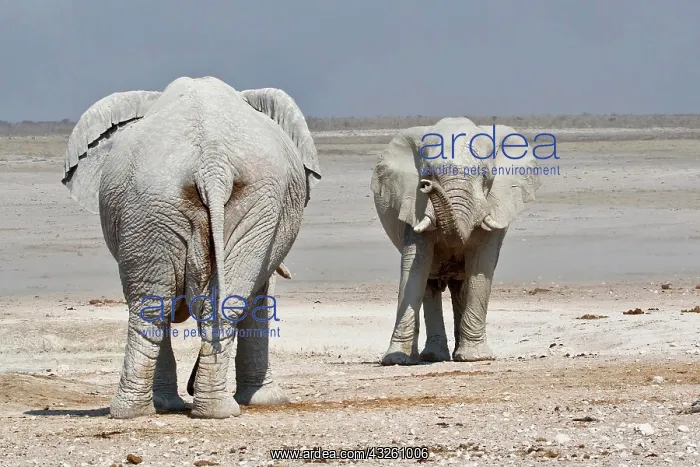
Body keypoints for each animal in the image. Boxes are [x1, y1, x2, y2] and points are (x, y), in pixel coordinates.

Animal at [61, 76, 321, 418]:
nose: (190, 385)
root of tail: (212, 164)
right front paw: (269, 401)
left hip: (175, 202)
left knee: (153, 308)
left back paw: (149, 411)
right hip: (165, 201)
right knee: (176, 306)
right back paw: (203, 409)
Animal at [370, 117, 542, 365]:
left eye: (486, 176)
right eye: (427, 175)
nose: (426, 186)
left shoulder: (496, 203)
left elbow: (481, 264)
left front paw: (475, 358)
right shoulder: (411, 204)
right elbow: (415, 266)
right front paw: (396, 359)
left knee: (461, 286)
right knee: (430, 285)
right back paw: (433, 356)